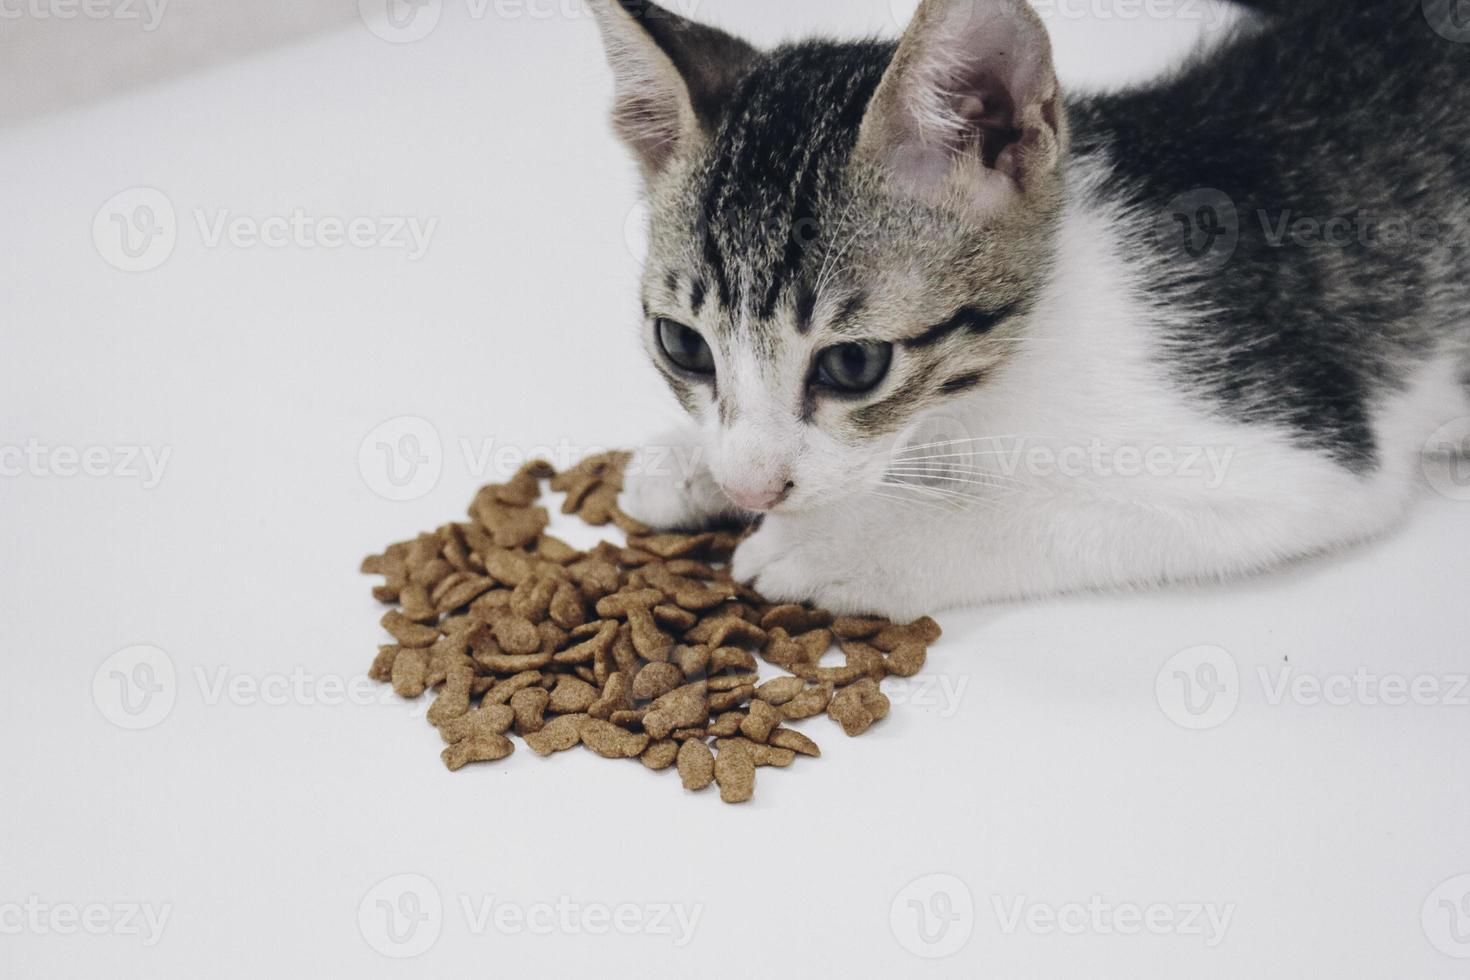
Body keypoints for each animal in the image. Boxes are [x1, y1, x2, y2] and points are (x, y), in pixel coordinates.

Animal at [585, 0, 1470, 617]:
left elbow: (1043, 510)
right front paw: (688, 461)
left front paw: (845, 540)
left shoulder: (1306, 456)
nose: (752, 490)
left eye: (854, 363)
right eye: (682, 345)